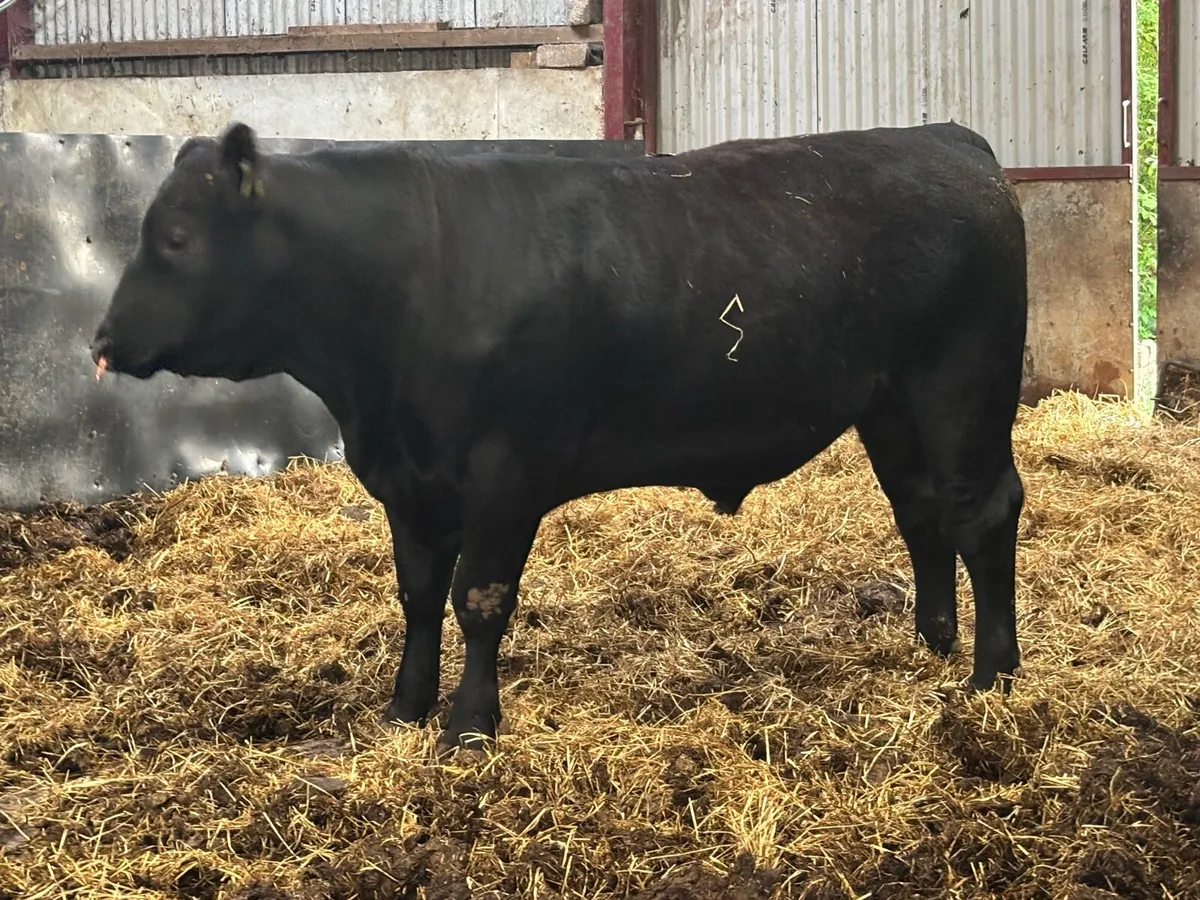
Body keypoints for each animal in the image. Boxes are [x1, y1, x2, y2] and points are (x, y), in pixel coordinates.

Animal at [90, 120, 1027, 749]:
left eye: (176, 238)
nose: (101, 339)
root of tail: (945, 139)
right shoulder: (410, 483)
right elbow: (418, 595)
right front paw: (404, 707)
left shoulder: (504, 475)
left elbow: (478, 599)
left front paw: (470, 724)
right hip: (890, 403)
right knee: (922, 511)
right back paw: (934, 641)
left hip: (962, 387)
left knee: (983, 513)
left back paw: (993, 674)